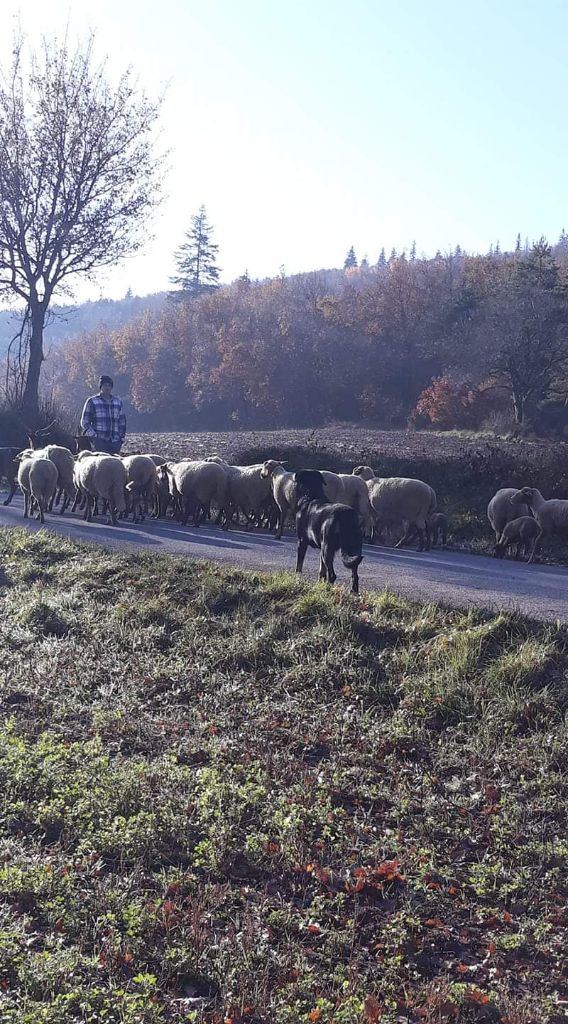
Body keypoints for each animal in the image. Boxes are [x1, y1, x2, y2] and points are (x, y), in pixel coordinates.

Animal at [292, 468, 364, 598]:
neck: (311, 495)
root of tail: (347, 514)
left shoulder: (302, 542)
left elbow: (299, 566)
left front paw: (297, 580)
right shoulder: (321, 547)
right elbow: (322, 570)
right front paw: (319, 584)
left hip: (328, 548)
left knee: (332, 575)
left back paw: (328, 591)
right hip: (352, 548)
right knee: (354, 572)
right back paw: (353, 592)